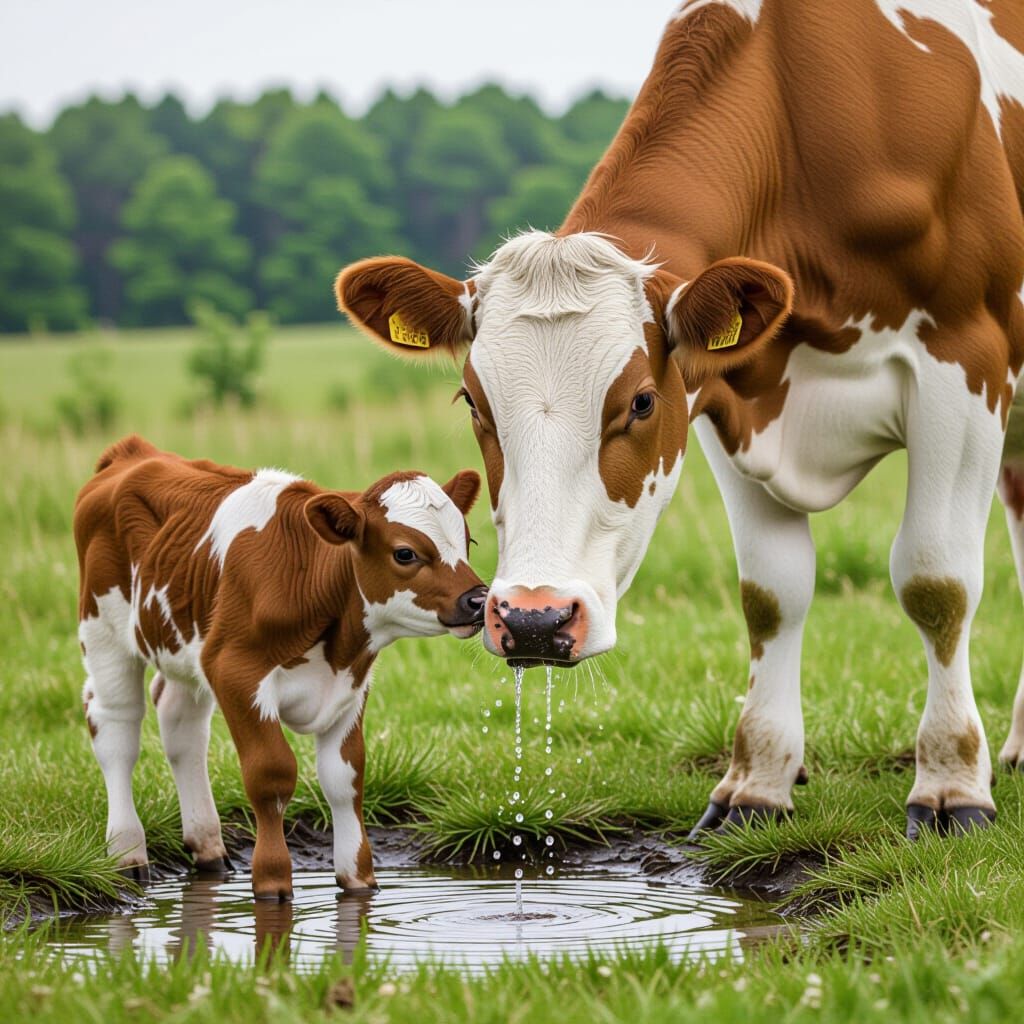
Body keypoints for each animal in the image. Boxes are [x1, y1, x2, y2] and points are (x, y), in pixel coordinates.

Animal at [75, 435, 485, 900]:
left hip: (184, 641)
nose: (478, 600)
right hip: (104, 630)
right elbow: (271, 774)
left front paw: (359, 880)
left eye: (468, 542)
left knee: (181, 724)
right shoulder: (234, 670)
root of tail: (134, 452)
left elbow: (345, 777)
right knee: (115, 726)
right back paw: (128, 855)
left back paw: (209, 849)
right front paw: (272, 881)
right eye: (405, 553)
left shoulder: (351, 683)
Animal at [335, 0, 1024, 839]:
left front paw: (953, 785)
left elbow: (936, 581)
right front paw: (757, 783)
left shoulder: (964, 364)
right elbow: (771, 593)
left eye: (639, 401)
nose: (531, 619)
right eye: (474, 402)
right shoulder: (732, 399)